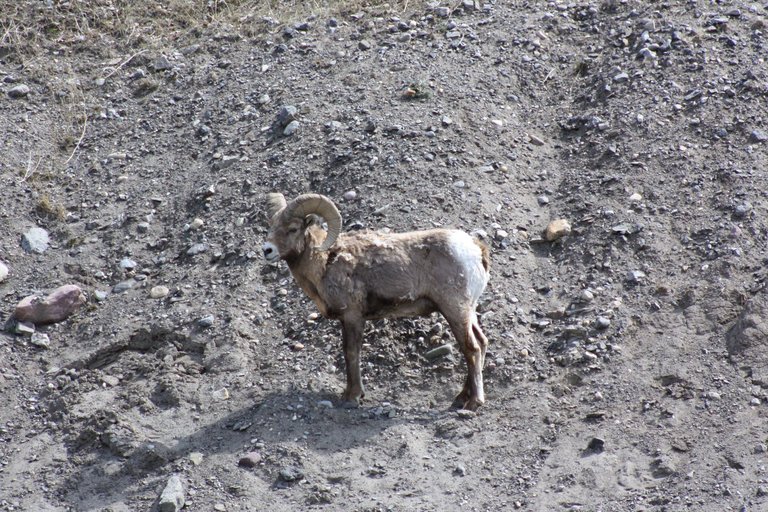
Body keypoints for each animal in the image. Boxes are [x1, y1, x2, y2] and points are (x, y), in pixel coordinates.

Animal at [264, 194, 492, 410]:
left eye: (293, 228)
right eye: (272, 226)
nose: (267, 250)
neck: (325, 263)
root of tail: (476, 250)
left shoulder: (353, 317)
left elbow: (351, 352)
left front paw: (353, 397)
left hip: (455, 311)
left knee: (471, 349)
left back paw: (473, 403)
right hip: (468, 313)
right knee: (481, 343)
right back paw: (460, 397)